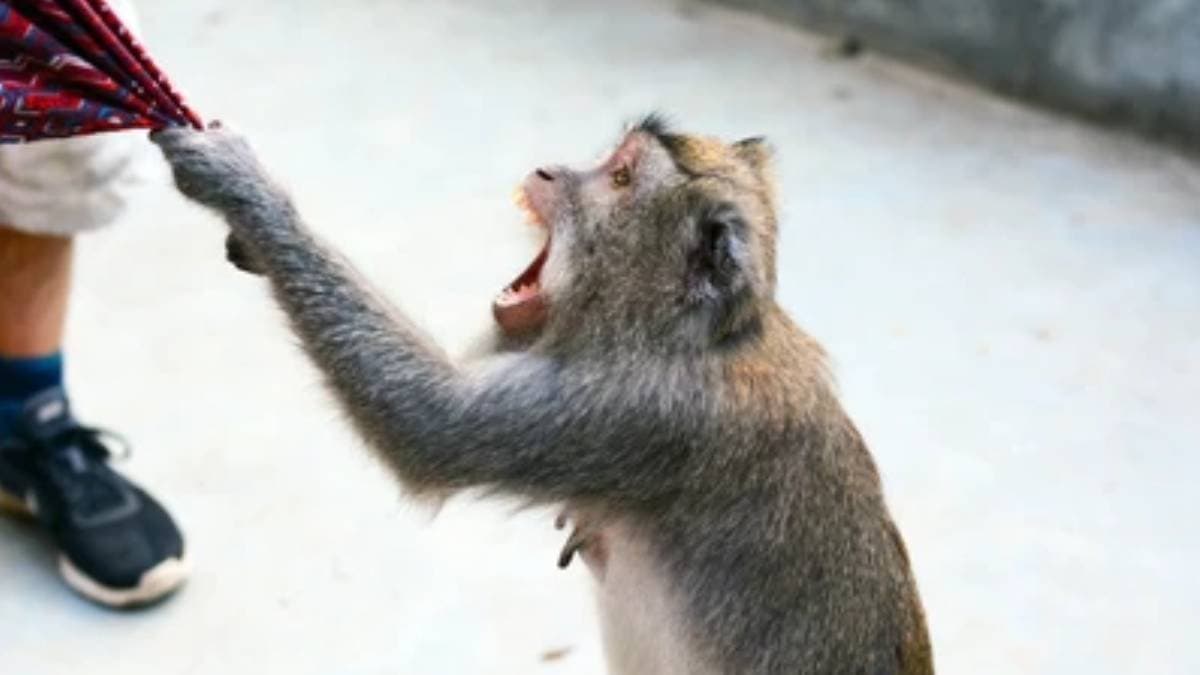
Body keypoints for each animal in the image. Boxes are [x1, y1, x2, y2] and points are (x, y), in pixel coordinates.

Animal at [151, 115, 933, 675]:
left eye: (620, 176)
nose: (551, 170)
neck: (697, 333)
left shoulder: (633, 410)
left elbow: (429, 428)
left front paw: (246, 193)